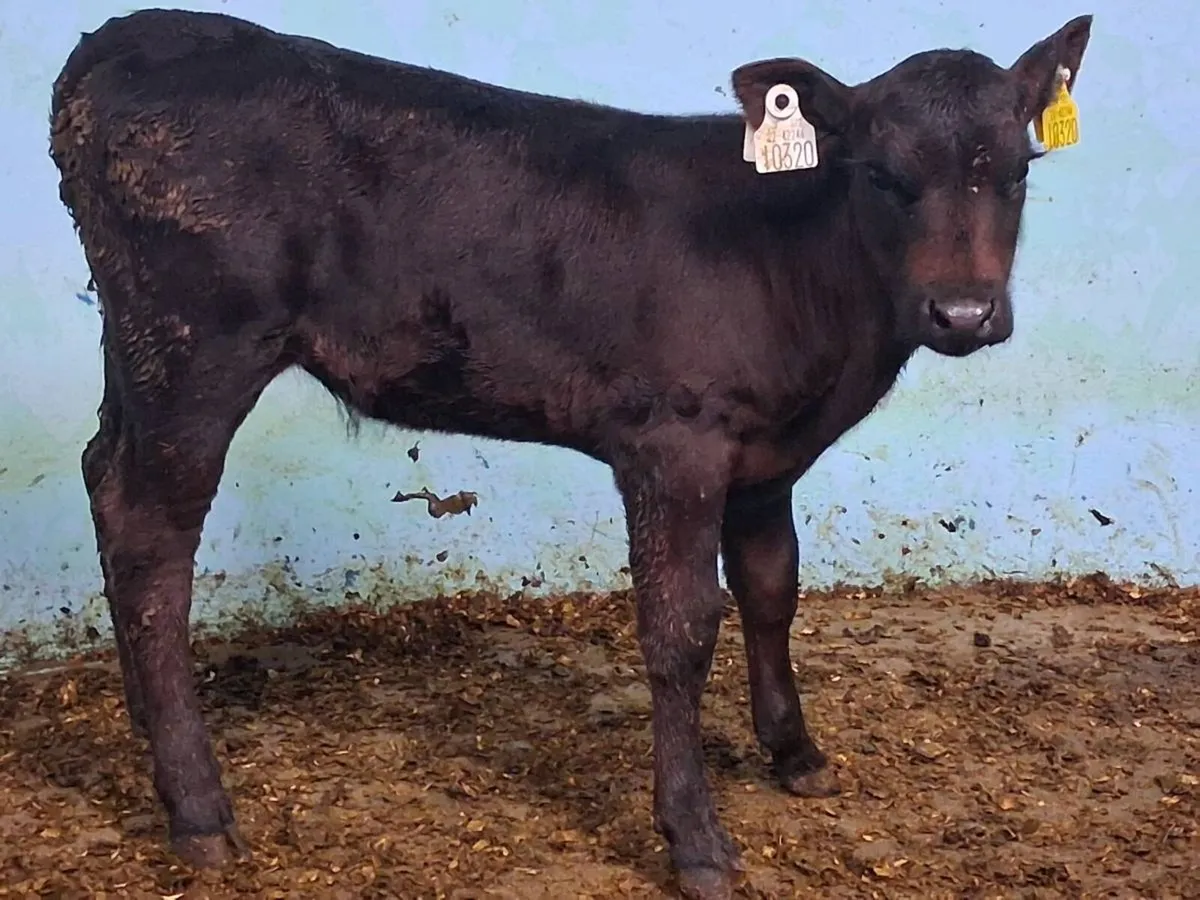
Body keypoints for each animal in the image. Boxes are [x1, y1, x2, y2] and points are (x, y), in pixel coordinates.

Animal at [48, 9, 1092, 899]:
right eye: (879, 174)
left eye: (1018, 170)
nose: (962, 312)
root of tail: (126, 38)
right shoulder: (674, 442)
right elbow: (681, 629)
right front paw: (696, 838)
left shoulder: (766, 458)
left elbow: (771, 591)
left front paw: (795, 754)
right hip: (198, 349)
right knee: (152, 539)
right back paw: (197, 806)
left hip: (136, 352)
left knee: (102, 478)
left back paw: (149, 729)